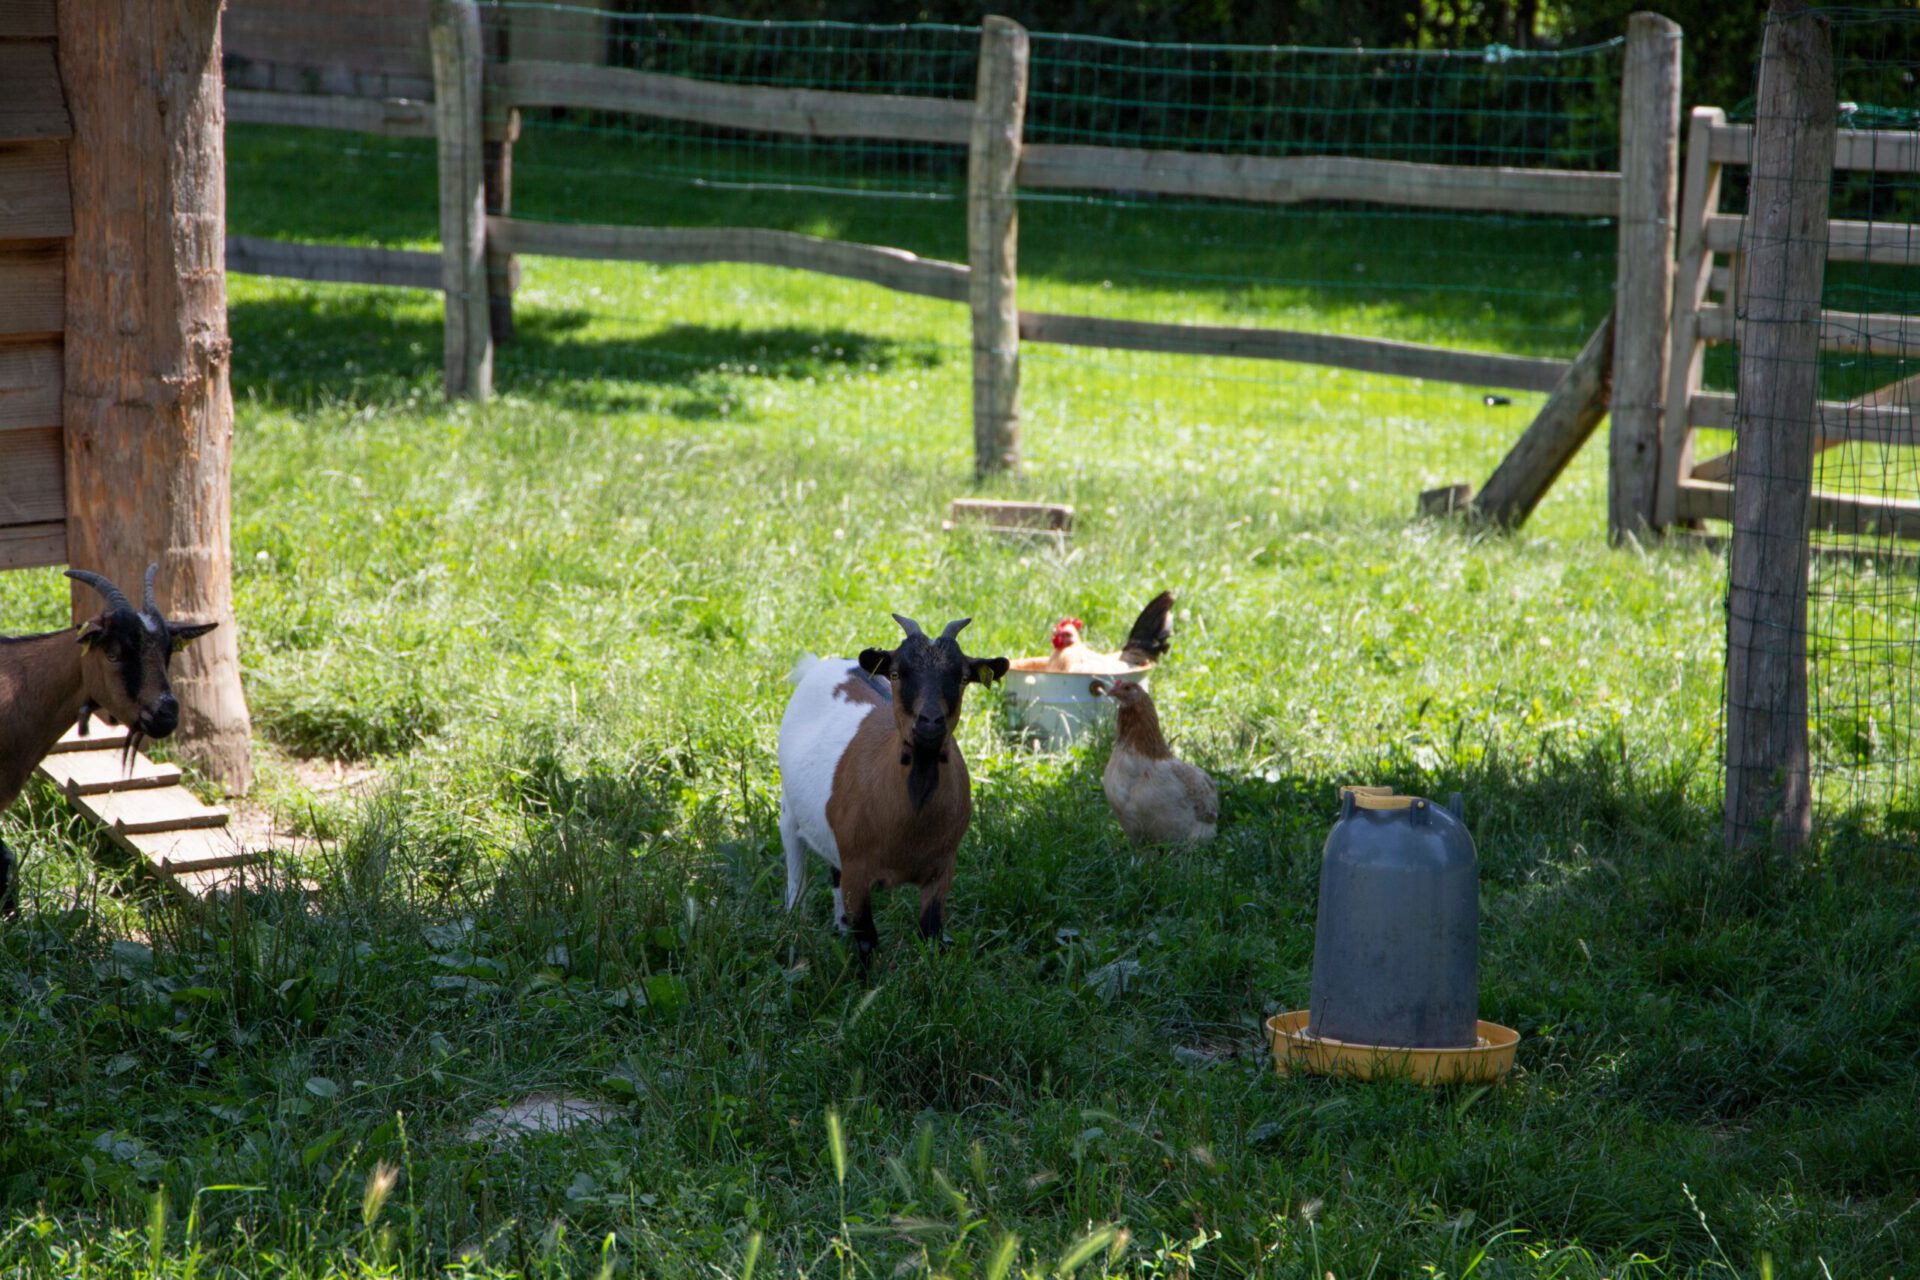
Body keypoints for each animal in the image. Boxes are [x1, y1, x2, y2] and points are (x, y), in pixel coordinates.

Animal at [779, 614, 1013, 959]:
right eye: (895, 673)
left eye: (962, 677)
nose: (930, 721)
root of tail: (821, 665)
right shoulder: (858, 872)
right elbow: (867, 941)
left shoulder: (942, 871)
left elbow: (930, 935)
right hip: (788, 808)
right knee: (796, 873)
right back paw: (795, 928)